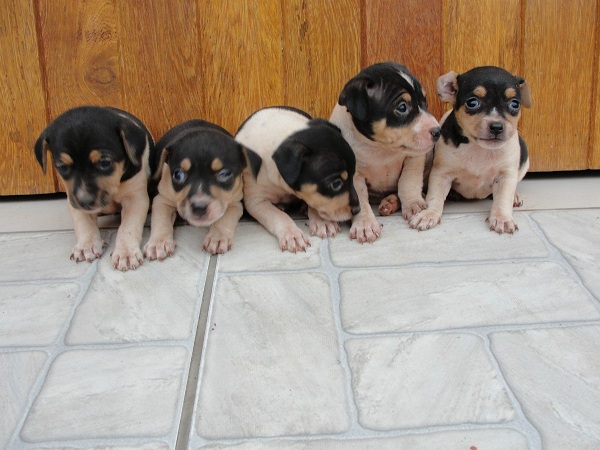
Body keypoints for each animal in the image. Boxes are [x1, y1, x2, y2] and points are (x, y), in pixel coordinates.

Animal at [33, 105, 156, 270]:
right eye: (62, 167)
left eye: (105, 162)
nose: (85, 201)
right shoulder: (73, 199)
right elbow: (84, 223)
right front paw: (86, 245)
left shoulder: (135, 198)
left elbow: (128, 226)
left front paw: (125, 252)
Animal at [144, 119, 262, 258]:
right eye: (178, 175)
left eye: (224, 174)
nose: (199, 207)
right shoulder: (162, 199)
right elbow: (161, 220)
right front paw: (158, 243)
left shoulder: (235, 203)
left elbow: (225, 218)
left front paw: (217, 238)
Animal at [234, 106, 358, 253]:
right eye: (336, 184)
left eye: (353, 175)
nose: (357, 210)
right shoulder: (256, 201)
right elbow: (278, 216)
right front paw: (292, 234)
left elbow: (314, 201)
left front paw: (323, 222)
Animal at [328, 62, 440, 244]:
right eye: (402, 107)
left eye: (424, 101)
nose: (438, 131)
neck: (380, 148)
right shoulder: (353, 175)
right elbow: (360, 199)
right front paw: (365, 224)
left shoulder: (414, 157)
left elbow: (408, 182)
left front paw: (413, 204)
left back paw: (391, 202)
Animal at [410, 67, 532, 236]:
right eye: (472, 102)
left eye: (515, 104)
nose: (496, 126)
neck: (478, 148)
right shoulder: (441, 174)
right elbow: (435, 197)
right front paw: (428, 214)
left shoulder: (505, 176)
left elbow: (503, 199)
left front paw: (502, 218)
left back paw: (515, 196)